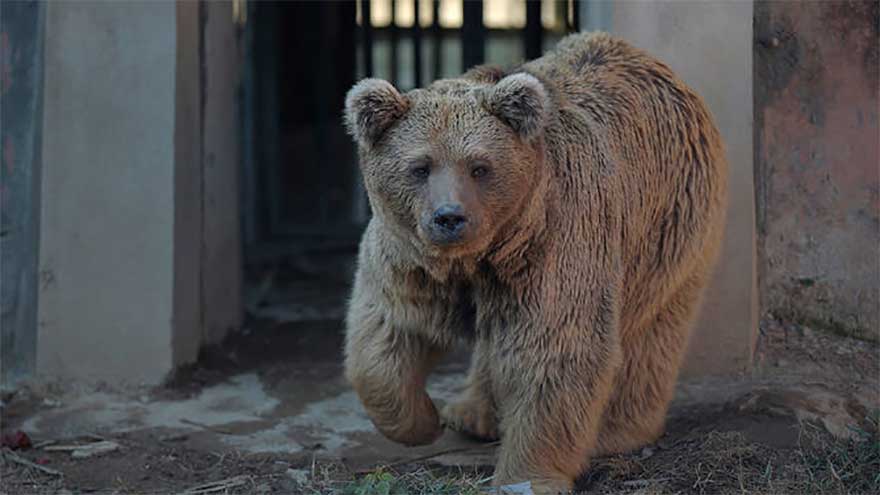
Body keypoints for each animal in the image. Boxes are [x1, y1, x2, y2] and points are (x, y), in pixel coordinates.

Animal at [342, 32, 727, 494]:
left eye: (480, 167)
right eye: (420, 166)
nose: (450, 217)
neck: (482, 255)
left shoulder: (556, 242)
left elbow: (554, 348)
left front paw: (526, 477)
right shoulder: (411, 257)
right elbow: (387, 332)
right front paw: (423, 422)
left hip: (670, 225)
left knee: (651, 331)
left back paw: (619, 431)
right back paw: (471, 413)